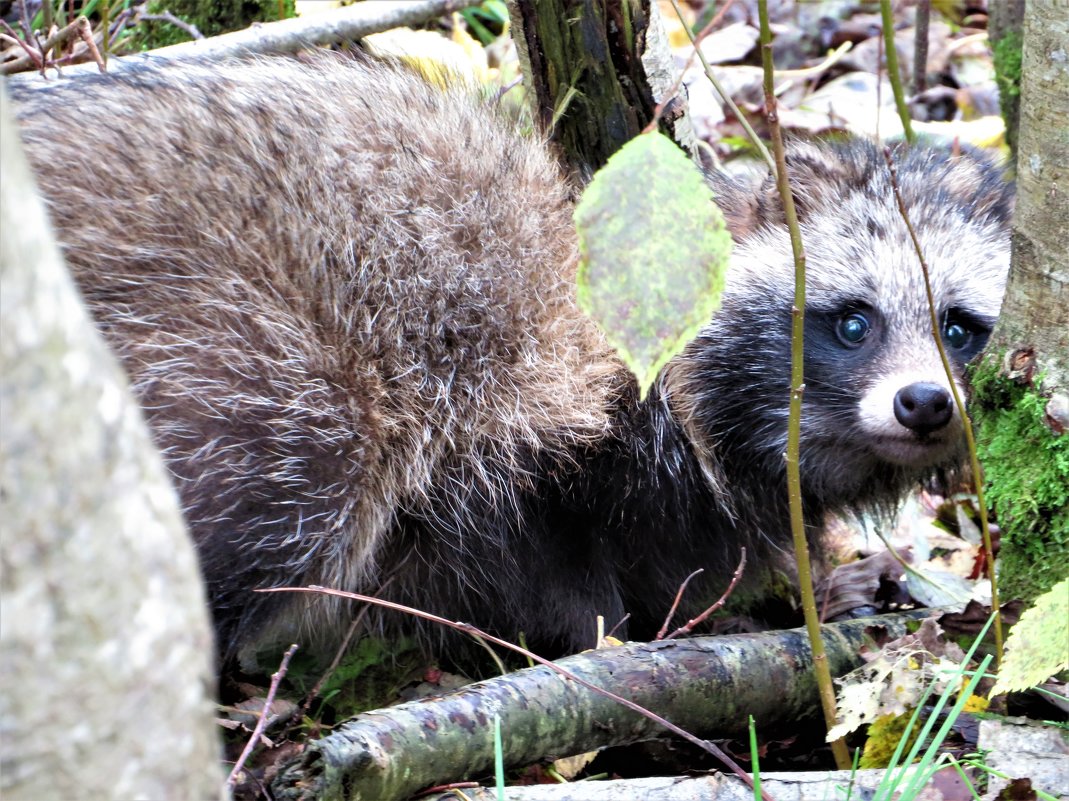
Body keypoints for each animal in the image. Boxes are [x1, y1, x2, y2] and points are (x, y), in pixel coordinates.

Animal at [8, 53, 1009, 658]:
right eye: (854, 321)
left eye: (960, 328)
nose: (923, 402)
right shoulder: (528, 415)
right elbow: (535, 556)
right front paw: (611, 639)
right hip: (236, 352)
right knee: (285, 489)